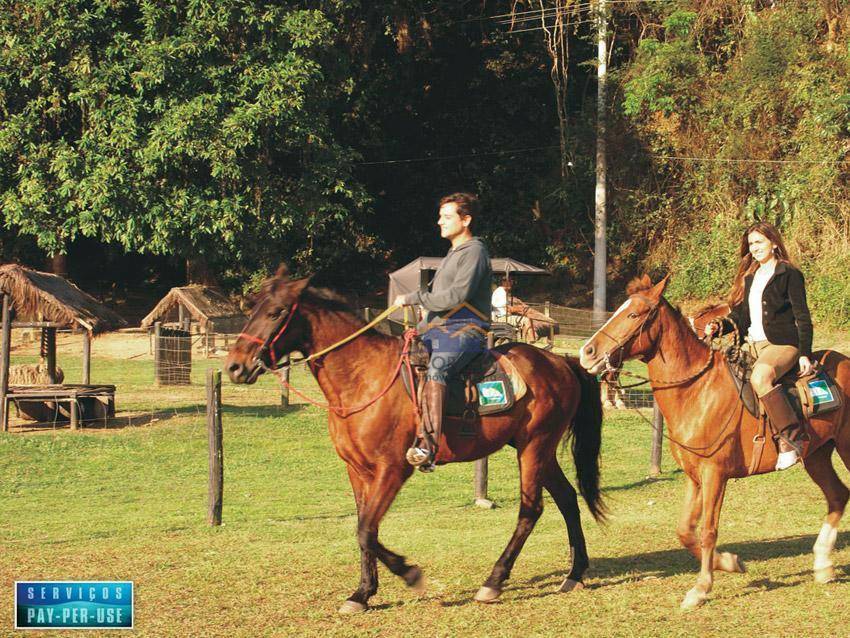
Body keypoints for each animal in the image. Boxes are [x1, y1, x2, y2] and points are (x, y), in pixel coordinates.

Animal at [225, 270, 604, 616]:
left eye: (276, 312)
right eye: (253, 308)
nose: (234, 367)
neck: (363, 376)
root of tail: (560, 362)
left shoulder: (392, 469)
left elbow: (366, 530)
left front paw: (410, 575)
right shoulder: (357, 471)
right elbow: (365, 528)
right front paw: (362, 593)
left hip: (534, 448)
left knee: (531, 510)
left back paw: (494, 581)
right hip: (540, 451)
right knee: (567, 498)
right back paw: (575, 572)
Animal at [576, 278, 848, 612]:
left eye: (634, 314)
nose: (587, 352)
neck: (697, 391)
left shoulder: (714, 474)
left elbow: (707, 531)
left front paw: (701, 588)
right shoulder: (695, 477)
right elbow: (684, 531)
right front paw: (730, 562)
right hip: (817, 455)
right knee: (837, 496)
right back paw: (823, 564)